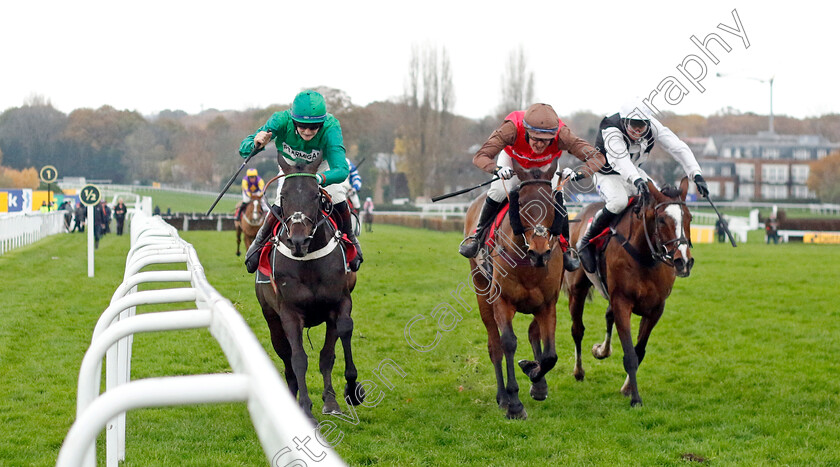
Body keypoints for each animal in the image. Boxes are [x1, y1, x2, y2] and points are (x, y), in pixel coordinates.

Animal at [253, 156, 364, 420]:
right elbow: (298, 359)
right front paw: (304, 407)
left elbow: (333, 347)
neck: (309, 262)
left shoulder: (339, 303)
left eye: (315, 195)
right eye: (283, 196)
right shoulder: (289, 313)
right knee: (286, 357)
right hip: (271, 317)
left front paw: (346, 393)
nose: (298, 241)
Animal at [462, 161, 568, 420]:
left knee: (533, 333)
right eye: (520, 203)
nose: (539, 251)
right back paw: (502, 397)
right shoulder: (502, 301)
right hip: (482, 292)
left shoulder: (548, 303)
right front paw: (514, 403)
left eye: (552, 202)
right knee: (494, 345)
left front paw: (535, 377)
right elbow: (507, 343)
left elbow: (550, 355)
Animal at [564, 177, 696, 408]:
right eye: (662, 220)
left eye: (689, 217)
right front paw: (635, 398)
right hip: (577, 289)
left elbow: (639, 350)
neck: (645, 257)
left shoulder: (656, 308)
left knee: (607, 317)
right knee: (577, 330)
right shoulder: (622, 303)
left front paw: (627, 388)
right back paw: (579, 371)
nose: (684, 262)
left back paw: (602, 350)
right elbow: (630, 354)